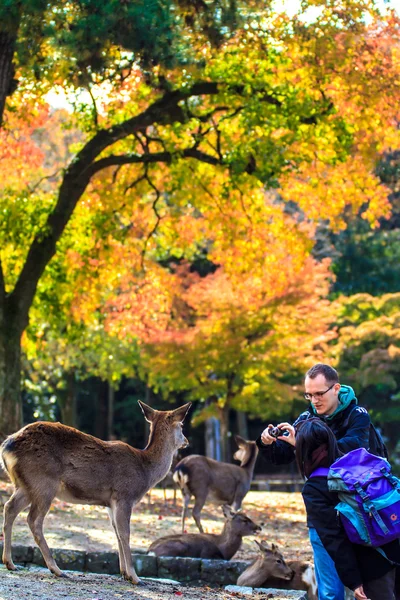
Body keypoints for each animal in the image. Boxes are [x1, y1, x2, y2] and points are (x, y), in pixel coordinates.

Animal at [0, 400, 191, 584]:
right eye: (181, 425)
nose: (187, 441)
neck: (145, 471)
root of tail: (6, 446)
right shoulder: (124, 495)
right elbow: (125, 533)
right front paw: (135, 578)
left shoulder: (110, 503)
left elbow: (116, 533)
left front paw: (124, 573)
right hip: (44, 482)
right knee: (33, 519)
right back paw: (56, 569)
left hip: (25, 485)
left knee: (9, 508)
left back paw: (10, 563)